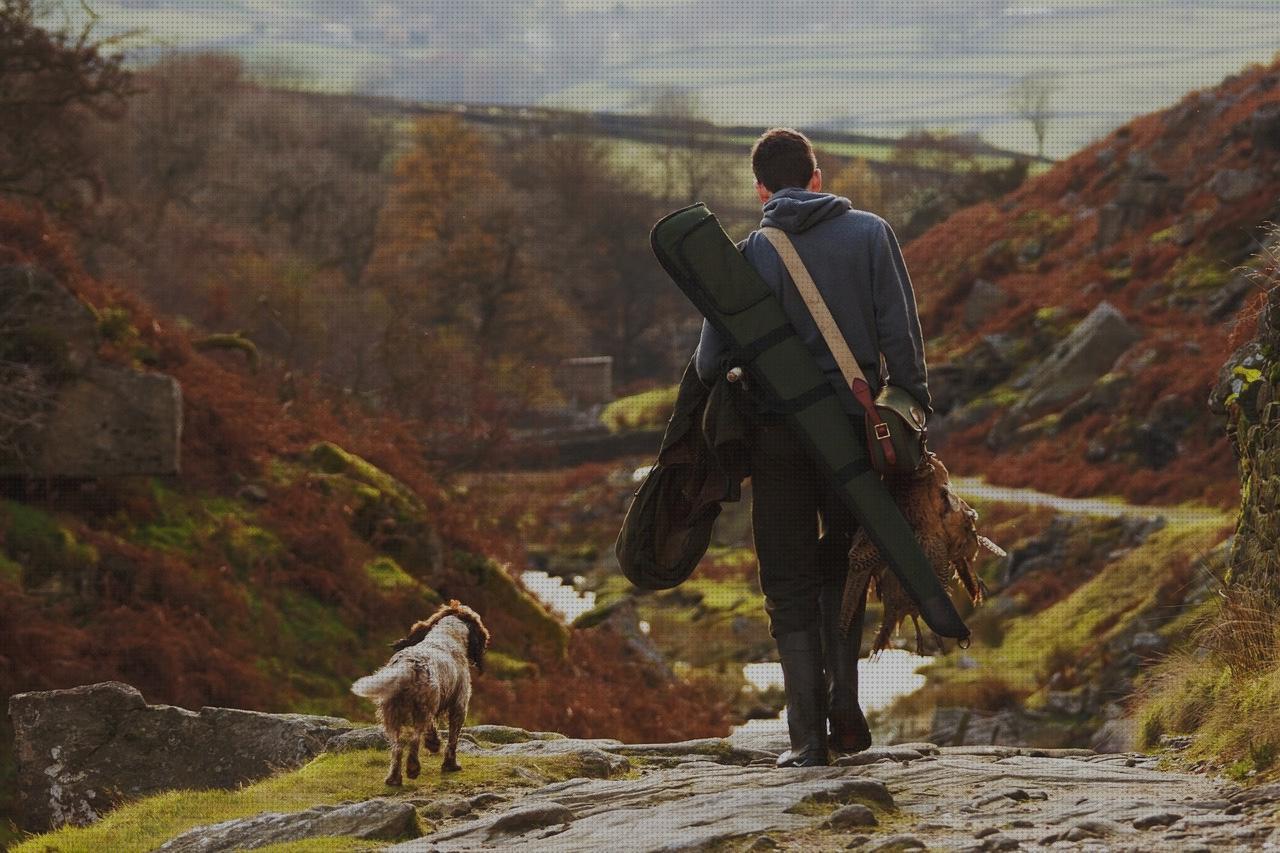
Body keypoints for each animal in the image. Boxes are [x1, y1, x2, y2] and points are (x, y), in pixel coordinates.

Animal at [350, 594, 488, 778]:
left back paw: (394, 778)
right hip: (421, 710)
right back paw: (413, 768)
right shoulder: (459, 706)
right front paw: (450, 764)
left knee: (397, 747)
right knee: (414, 740)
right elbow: (452, 740)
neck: (447, 635)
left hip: (392, 715)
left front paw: (433, 744)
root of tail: (408, 666)